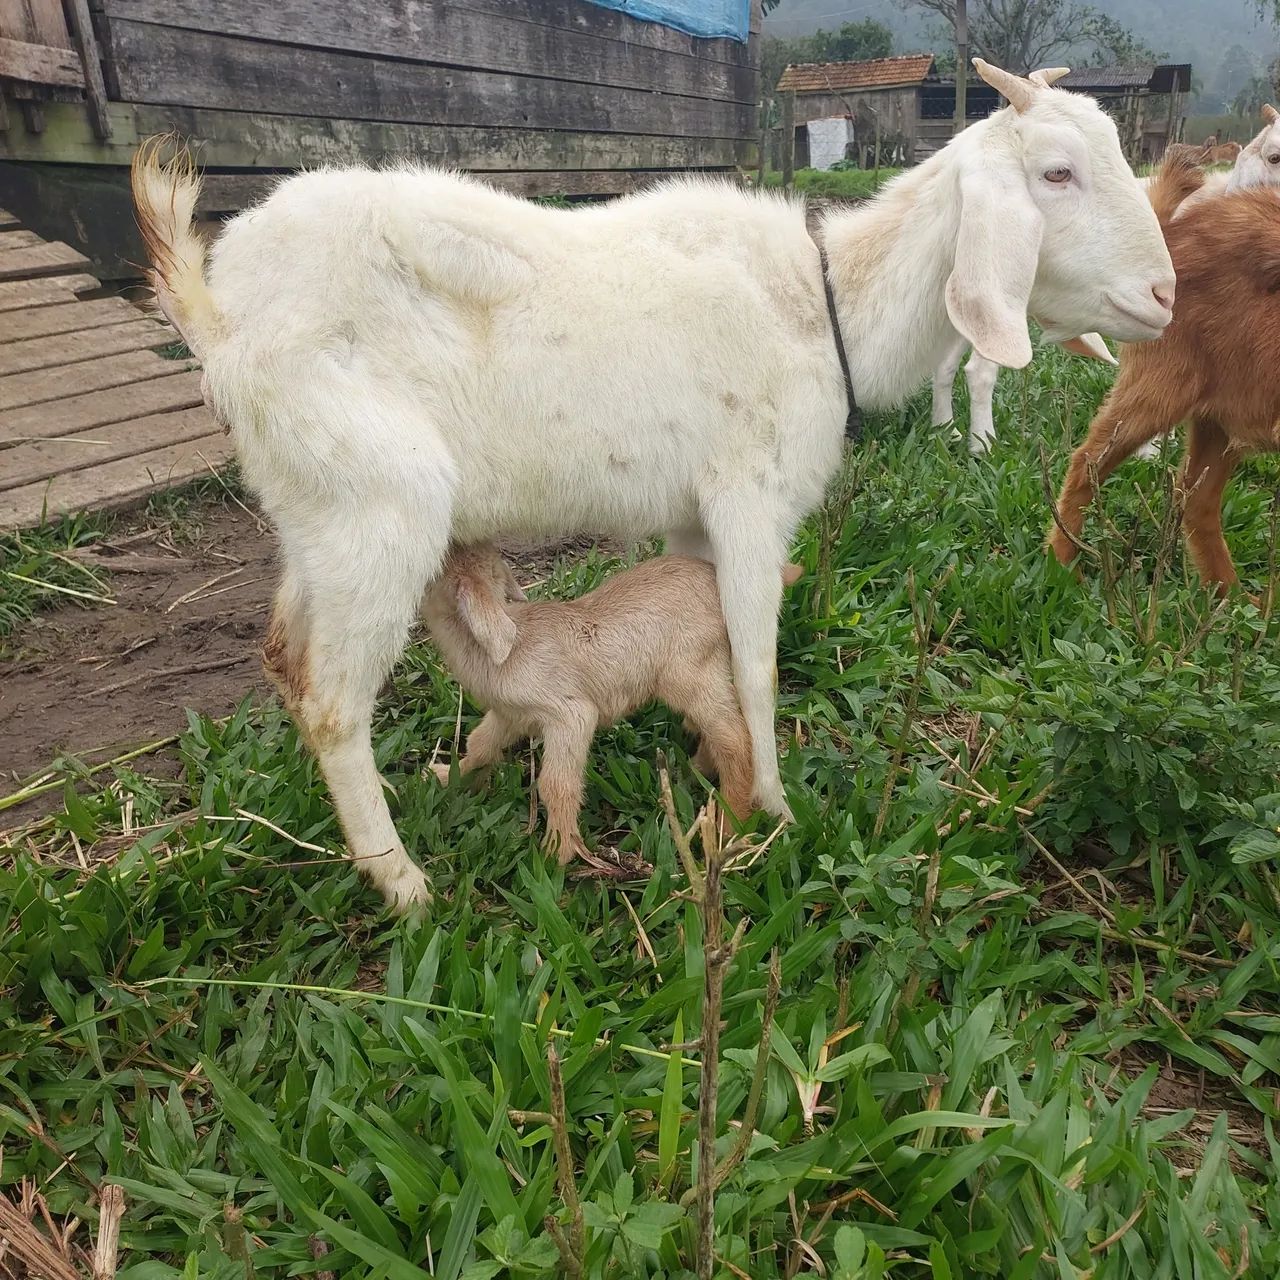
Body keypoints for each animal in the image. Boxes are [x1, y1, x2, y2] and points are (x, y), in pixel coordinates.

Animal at [422, 547, 802, 865]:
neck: (511, 644)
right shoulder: (510, 715)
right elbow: (480, 743)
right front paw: (445, 775)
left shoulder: (570, 714)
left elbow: (556, 782)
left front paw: (556, 852)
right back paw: (696, 770)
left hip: (691, 672)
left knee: (736, 736)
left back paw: (729, 825)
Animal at [1049, 153, 1280, 592]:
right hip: (1162, 386)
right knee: (1087, 461)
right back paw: (1064, 564)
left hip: (1219, 415)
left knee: (1197, 501)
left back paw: (1230, 597)